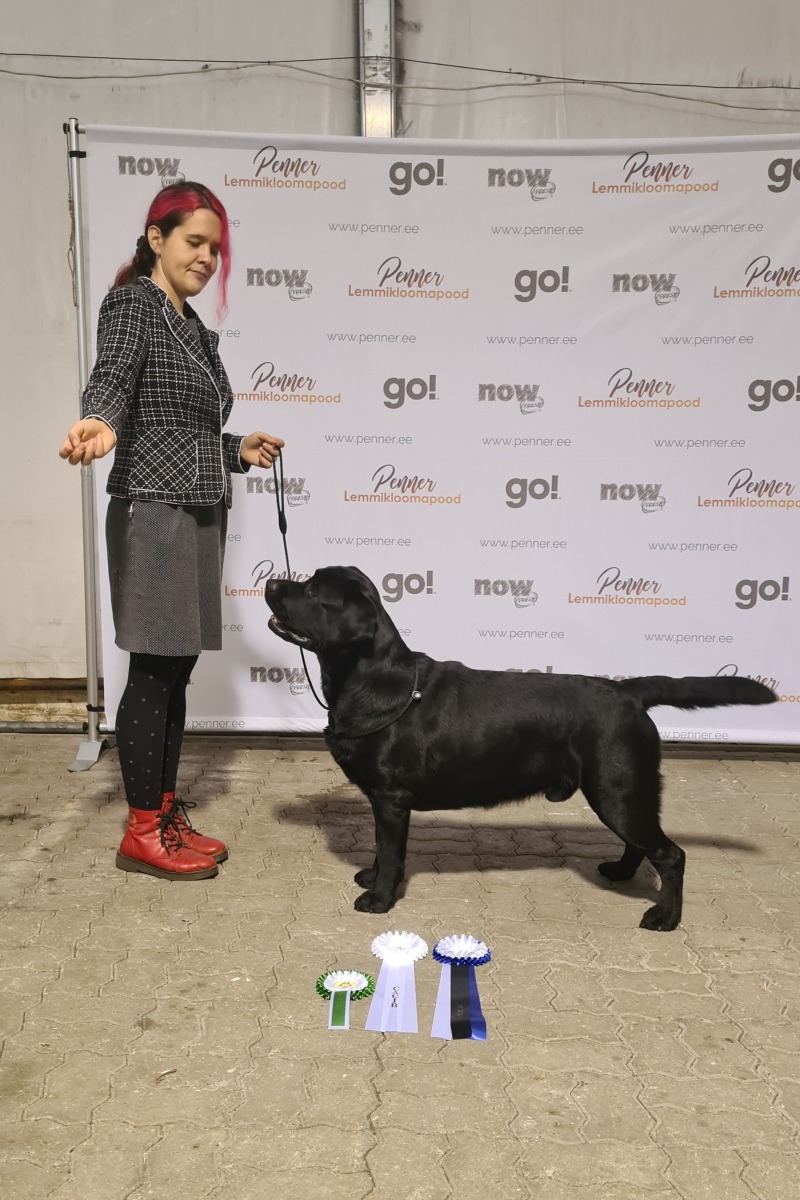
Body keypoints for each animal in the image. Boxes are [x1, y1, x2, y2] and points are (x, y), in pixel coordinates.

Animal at [265, 565, 777, 930]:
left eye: (312, 591)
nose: (269, 581)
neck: (372, 679)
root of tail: (628, 691)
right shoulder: (385, 803)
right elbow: (378, 850)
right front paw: (371, 878)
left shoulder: (391, 800)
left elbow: (390, 853)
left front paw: (379, 898)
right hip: (622, 791)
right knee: (642, 844)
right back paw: (619, 872)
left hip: (617, 787)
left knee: (671, 854)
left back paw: (665, 917)